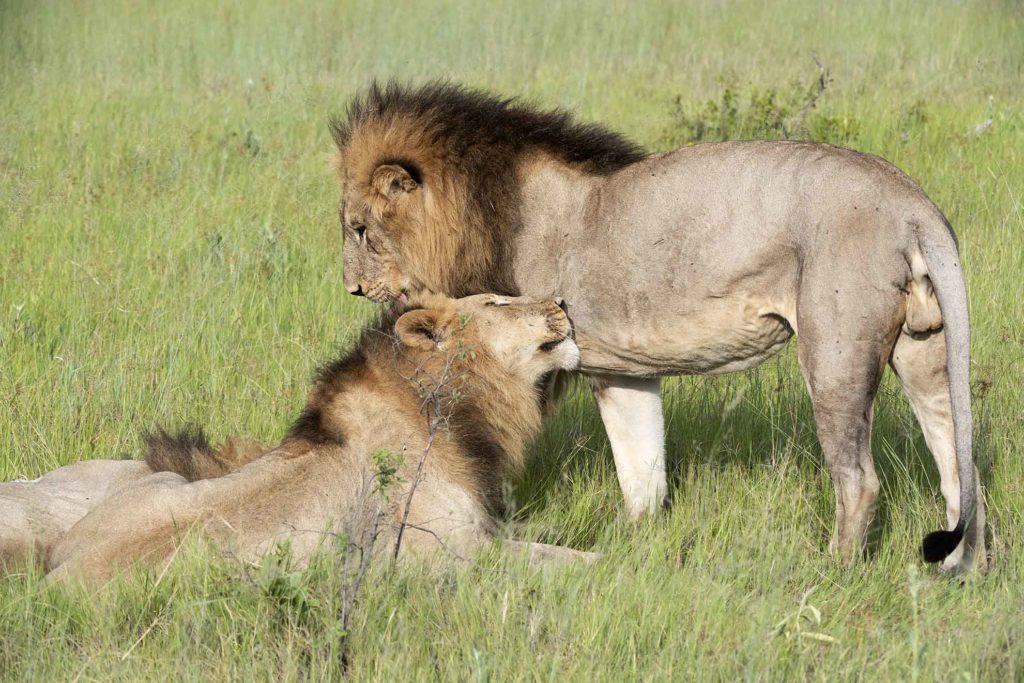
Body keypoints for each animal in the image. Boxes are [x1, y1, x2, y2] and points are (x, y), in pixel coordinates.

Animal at [0, 294, 593, 581]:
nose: (564, 301)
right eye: (497, 302)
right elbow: (561, 559)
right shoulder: (447, 555)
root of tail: (61, 577)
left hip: (160, 477)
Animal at [331, 80, 987, 573]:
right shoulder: (622, 371)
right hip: (925, 350)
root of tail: (911, 202)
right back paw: (962, 573)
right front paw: (640, 553)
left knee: (859, 481)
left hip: (834, 353)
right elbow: (641, 474)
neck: (491, 210)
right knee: (961, 466)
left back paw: (830, 575)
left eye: (361, 229)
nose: (352, 288)